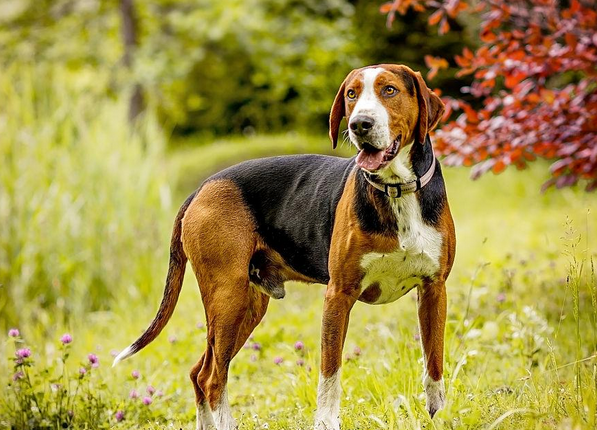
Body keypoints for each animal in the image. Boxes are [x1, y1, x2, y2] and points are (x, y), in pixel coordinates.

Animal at [114, 63, 454, 430]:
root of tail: (201, 188)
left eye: (389, 90)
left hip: (247, 307)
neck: (396, 189)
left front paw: (438, 418)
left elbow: (434, 365)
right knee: (212, 377)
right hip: (227, 297)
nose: (359, 124)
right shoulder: (338, 295)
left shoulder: (434, 290)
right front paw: (326, 423)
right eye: (351, 94)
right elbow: (330, 374)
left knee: (198, 372)